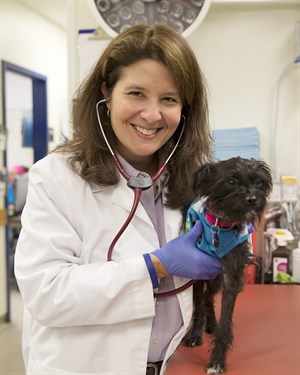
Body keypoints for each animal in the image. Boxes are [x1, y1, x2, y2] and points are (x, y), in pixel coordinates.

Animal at [184, 157, 274, 374]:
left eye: (258, 182)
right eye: (231, 182)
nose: (252, 199)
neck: (220, 226)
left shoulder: (230, 277)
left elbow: (226, 320)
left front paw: (217, 360)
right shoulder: (197, 273)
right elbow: (197, 306)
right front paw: (196, 335)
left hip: (216, 279)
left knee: (209, 298)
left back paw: (212, 325)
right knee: (205, 299)